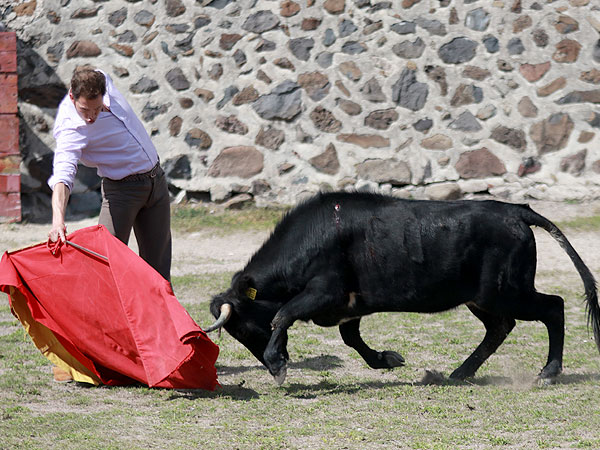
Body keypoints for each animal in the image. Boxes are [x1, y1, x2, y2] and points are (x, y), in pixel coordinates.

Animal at [206, 192, 600, 384]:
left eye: (244, 328)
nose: (261, 359)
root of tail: (516, 211)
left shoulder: (326, 292)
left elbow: (284, 314)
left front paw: (277, 365)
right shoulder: (348, 307)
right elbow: (351, 338)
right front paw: (387, 360)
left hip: (507, 292)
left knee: (553, 306)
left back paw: (548, 372)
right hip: (483, 298)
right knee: (500, 327)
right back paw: (460, 373)